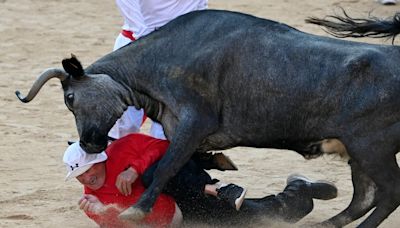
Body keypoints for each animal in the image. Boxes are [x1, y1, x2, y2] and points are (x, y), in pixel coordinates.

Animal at [15, 9, 400, 227]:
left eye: (70, 98)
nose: (88, 144)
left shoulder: (193, 122)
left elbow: (163, 169)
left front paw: (135, 210)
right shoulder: (180, 131)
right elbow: (169, 165)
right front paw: (220, 165)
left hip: (371, 148)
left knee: (387, 195)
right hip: (358, 153)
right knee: (365, 197)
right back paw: (323, 225)